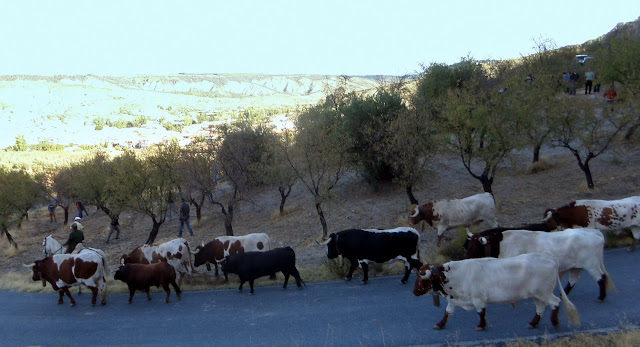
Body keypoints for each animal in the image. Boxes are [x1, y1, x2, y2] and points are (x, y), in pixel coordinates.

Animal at [412, 253, 584, 332]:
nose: (414, 292)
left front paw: (481, 325)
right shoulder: (454, 301)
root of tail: (547, 256)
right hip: (538, 295)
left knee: (555, 302)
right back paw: (533, 323)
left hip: (544, 293)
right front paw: (440, 324)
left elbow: (481, 312)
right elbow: (447, 313)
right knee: (541, 308)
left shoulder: (478, 298)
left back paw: (554, 322)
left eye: (422, 279)